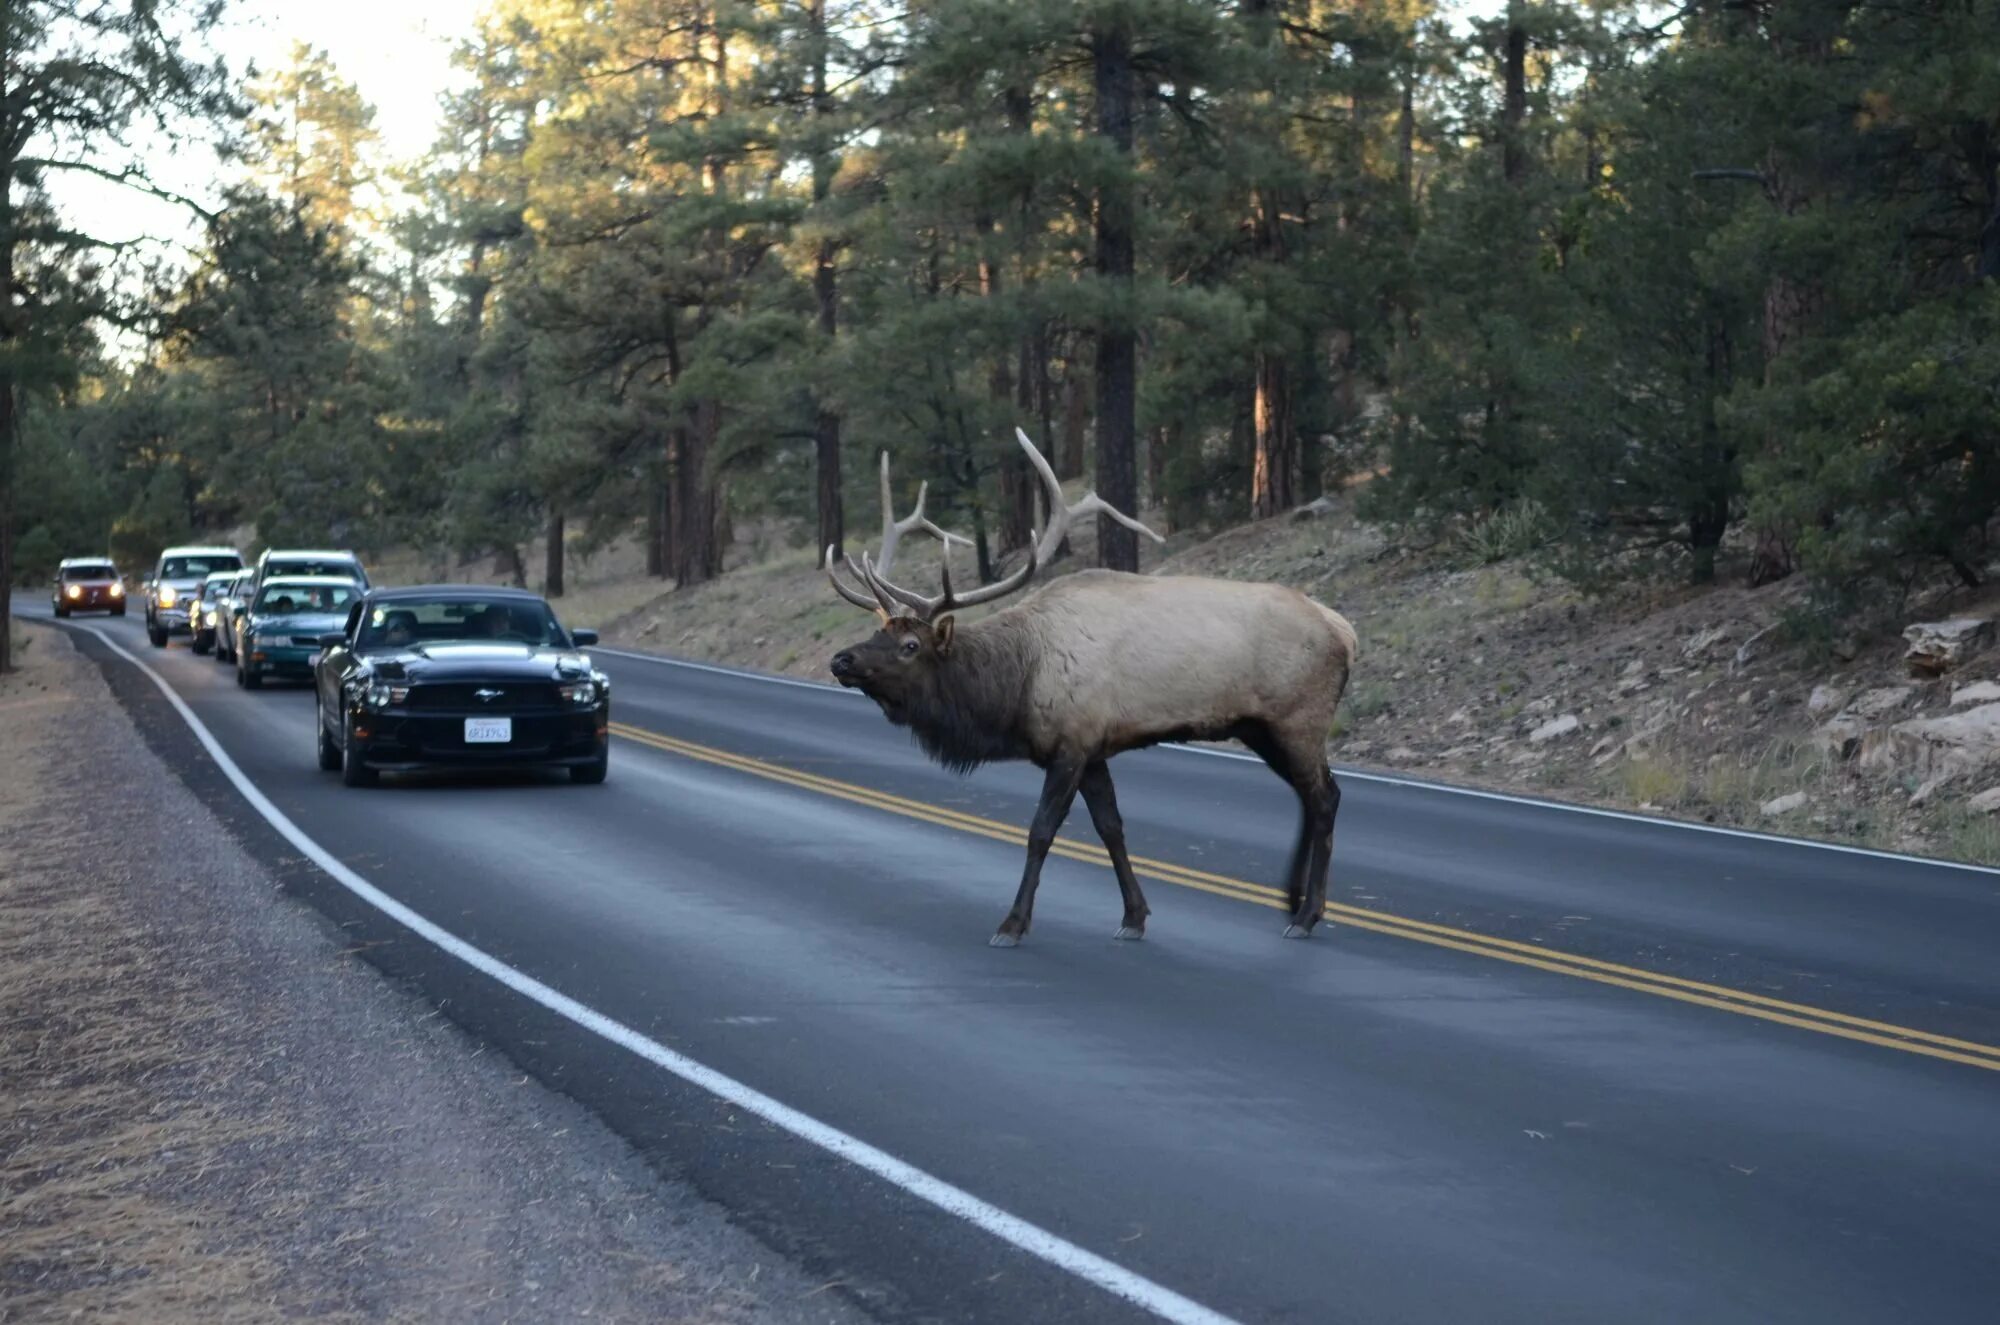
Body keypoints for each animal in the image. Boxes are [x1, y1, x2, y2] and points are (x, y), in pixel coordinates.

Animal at [828, 430, 1360, 948]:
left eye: (911, 645)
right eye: (877, 631)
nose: (841, 659)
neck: (1016, 686)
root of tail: (1345, 631)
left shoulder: (1071, 743)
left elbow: (1041, 832)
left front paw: (1013, 923)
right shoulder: (1093, 749)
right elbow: (1112, 829)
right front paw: (1135, 916)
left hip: (1300, 718)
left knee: (1326, 797)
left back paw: (1307, 914)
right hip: (1259, 727)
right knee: (1309, 797)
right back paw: (1292, 902)